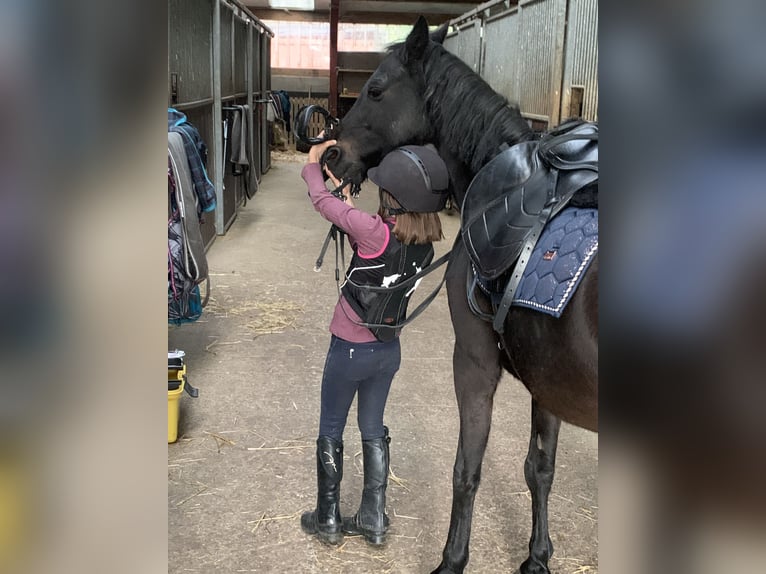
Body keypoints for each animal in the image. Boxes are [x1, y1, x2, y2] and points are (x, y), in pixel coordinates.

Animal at [320, 16, 596, 574]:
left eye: (375, 90)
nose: (334, 154)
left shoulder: (473, 362)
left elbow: (466, 470)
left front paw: (452, 560)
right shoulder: (547, 381)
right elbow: (540, 468)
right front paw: (537, 557)